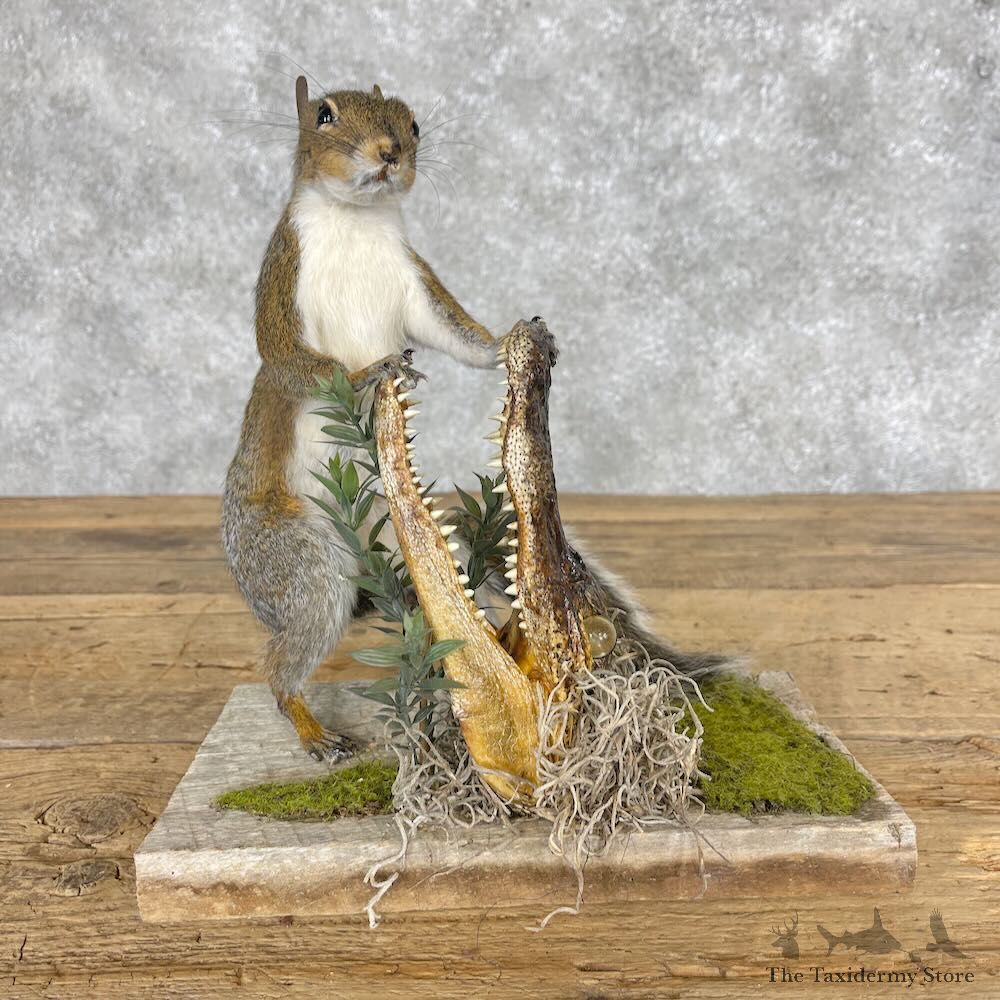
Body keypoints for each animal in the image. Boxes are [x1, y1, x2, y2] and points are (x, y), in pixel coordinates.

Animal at [221, 77, 499, 761]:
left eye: (414, 123)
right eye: (323, 116)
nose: (390, 151)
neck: (356, 220)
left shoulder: (414, 282)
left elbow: (454, 333)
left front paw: (509, 342)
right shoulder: (283, 275)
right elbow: (287, 356)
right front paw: (368, 372)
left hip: (398, 535)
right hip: (297, 560)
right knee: (284, 660)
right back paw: (311, 728)